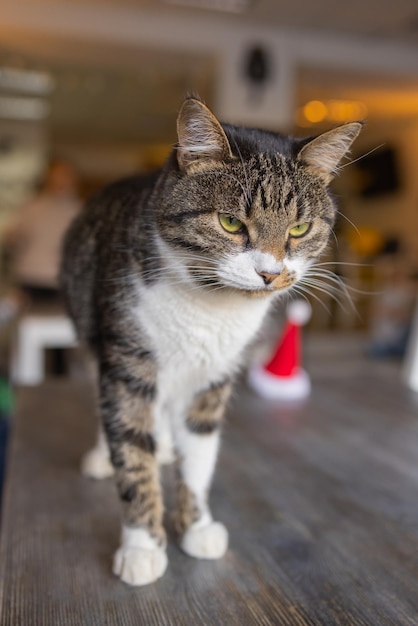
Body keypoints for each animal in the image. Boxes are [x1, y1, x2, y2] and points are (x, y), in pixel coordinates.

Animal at [59, 94, 362, 584]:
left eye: (298, 230)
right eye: (230, 222)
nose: (270, 273)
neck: (208, 309)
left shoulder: (214, 375)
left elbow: (199, 456)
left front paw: (196, 524)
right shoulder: (127, 358)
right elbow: (132, 451)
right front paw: (142, 544)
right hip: (92, 331)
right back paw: (106, 455)